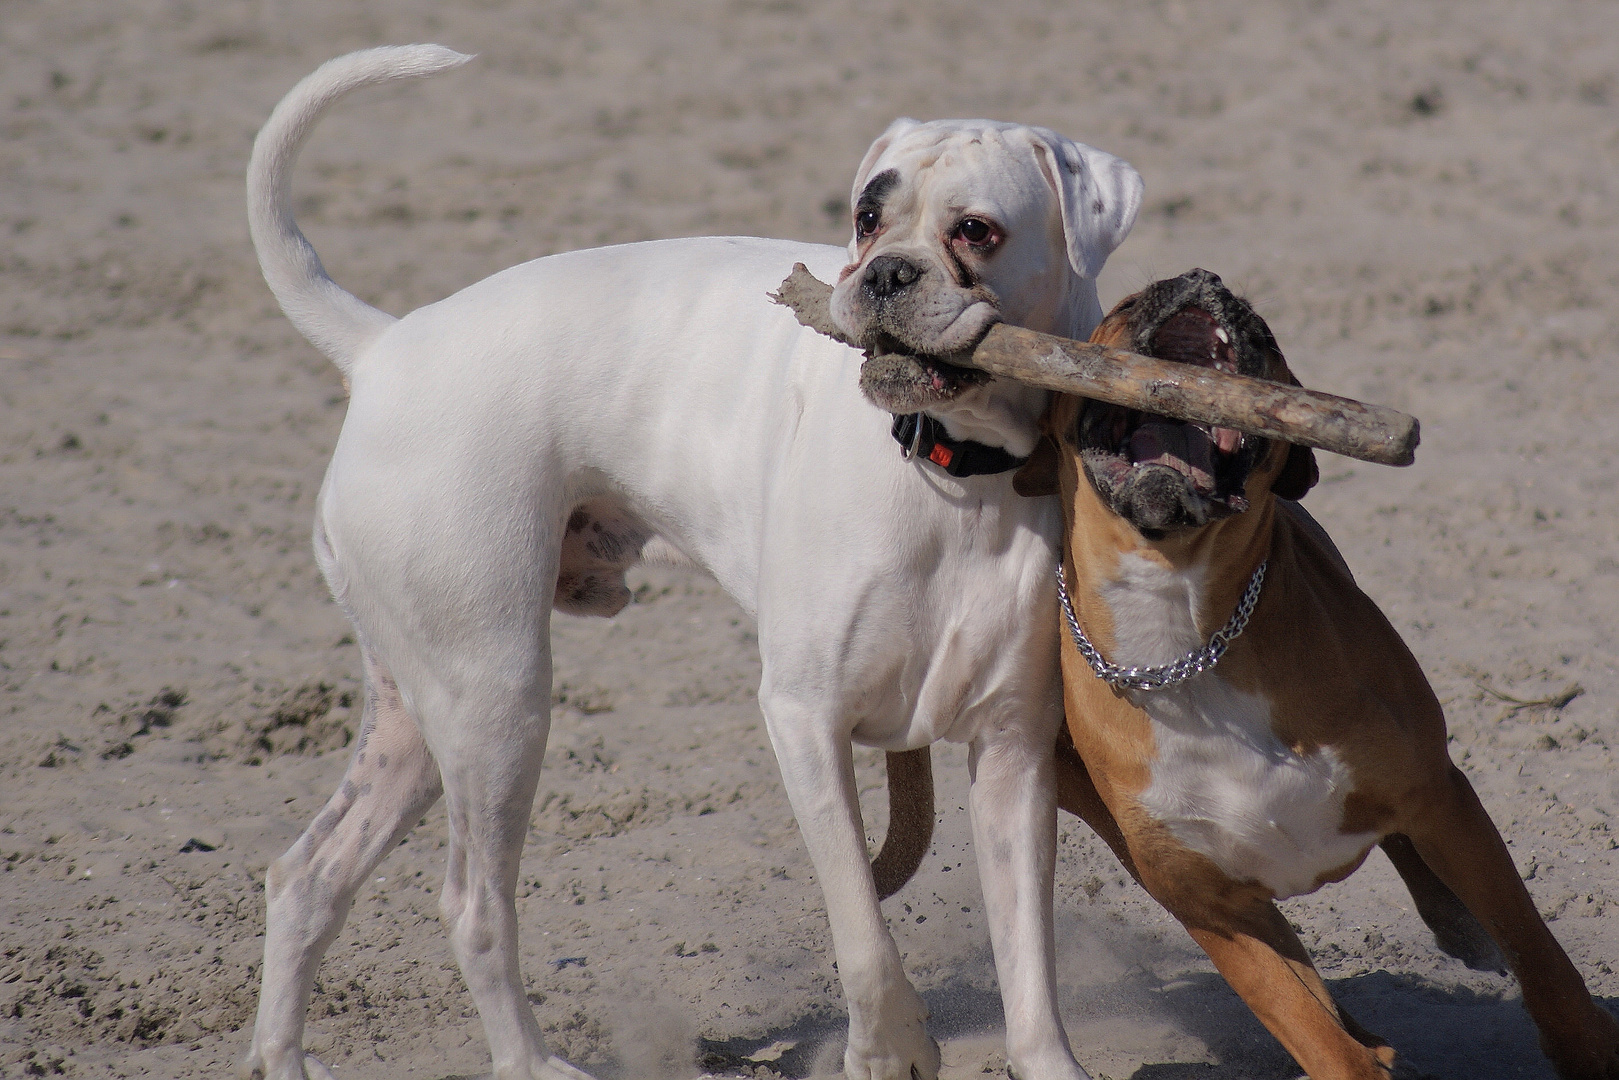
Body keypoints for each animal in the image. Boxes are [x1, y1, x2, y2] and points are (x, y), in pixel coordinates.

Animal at [242, 44, 1139, 1080]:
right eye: (866, 217)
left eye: (978, 231)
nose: (882, 273)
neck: (955, 472)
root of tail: (385, 346)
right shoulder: (804, 722)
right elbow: (863, 932)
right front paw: (890, 1050)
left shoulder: (1012, 756)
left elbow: (1027, 960)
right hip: (496, 703)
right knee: (472, 906)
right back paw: (532, 1061)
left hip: (416, 723)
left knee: (307, 876)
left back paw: (282, 1055)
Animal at [997, 268, 1619, 1080]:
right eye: (1126, 305)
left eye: (1265, 333)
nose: (1201, 276)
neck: (1185, 639)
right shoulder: (1210, 906)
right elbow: (1306, 1021)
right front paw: (1356, 1055)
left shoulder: (1433, 795)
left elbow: (1536, 950)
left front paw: (1588, 1047)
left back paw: (1456, 927)